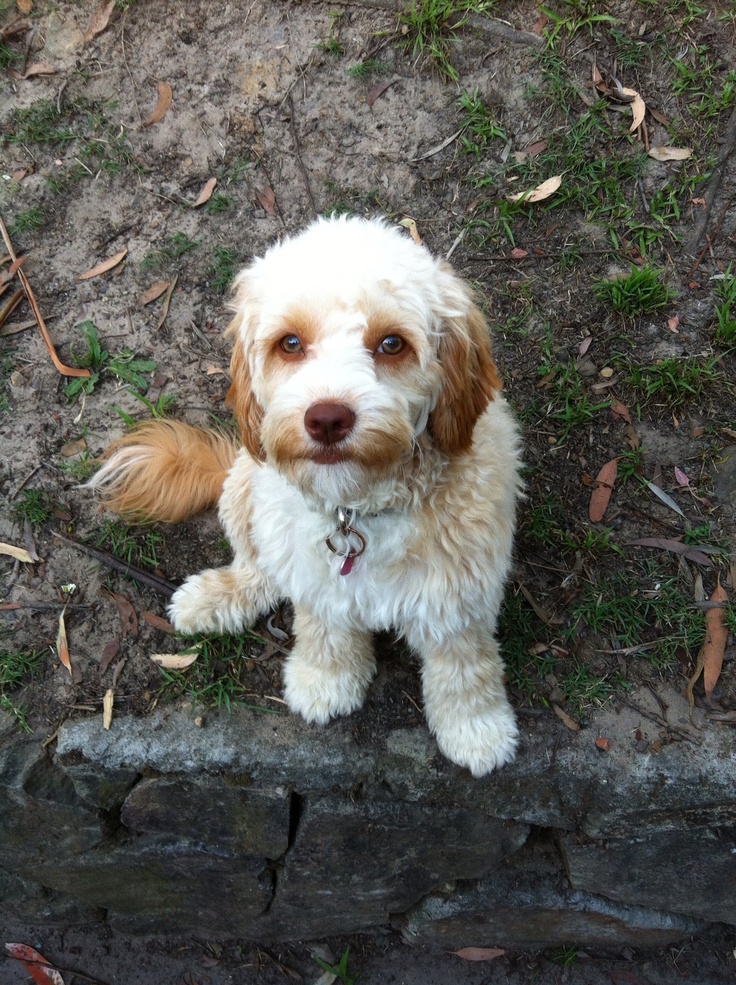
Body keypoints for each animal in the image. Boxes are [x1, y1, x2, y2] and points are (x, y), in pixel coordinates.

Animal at [89, 215, 520, 776]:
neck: (356, 508)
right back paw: (217, 597)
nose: (328, 418)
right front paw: (325, 682)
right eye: (290, 343)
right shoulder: (319, 582)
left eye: (392, 344)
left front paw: (475, 729)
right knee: (258, 567)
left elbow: (464, 670)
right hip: (247, 493)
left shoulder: (458, 597)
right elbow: (325, 632)